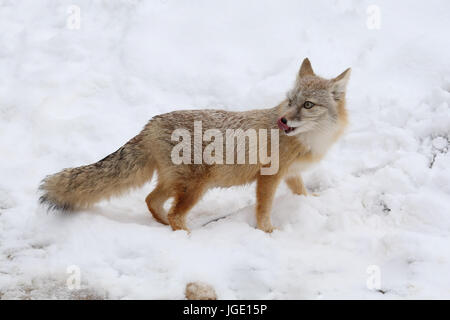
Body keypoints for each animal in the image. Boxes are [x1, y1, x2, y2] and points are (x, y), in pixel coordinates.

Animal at [39, 58, 352, 232]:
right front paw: (268, 231)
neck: (309, 140)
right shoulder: (268, 177)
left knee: (151, 201)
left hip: (176, 184)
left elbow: (302, 192)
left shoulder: (291, 174)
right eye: (289, 101)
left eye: (307, 104)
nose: (283, 120)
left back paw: (163, 226)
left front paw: (312, 202)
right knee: (174, 212)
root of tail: (150, 124)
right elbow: (263, 210)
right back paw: (186, 236)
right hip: (196, 187)